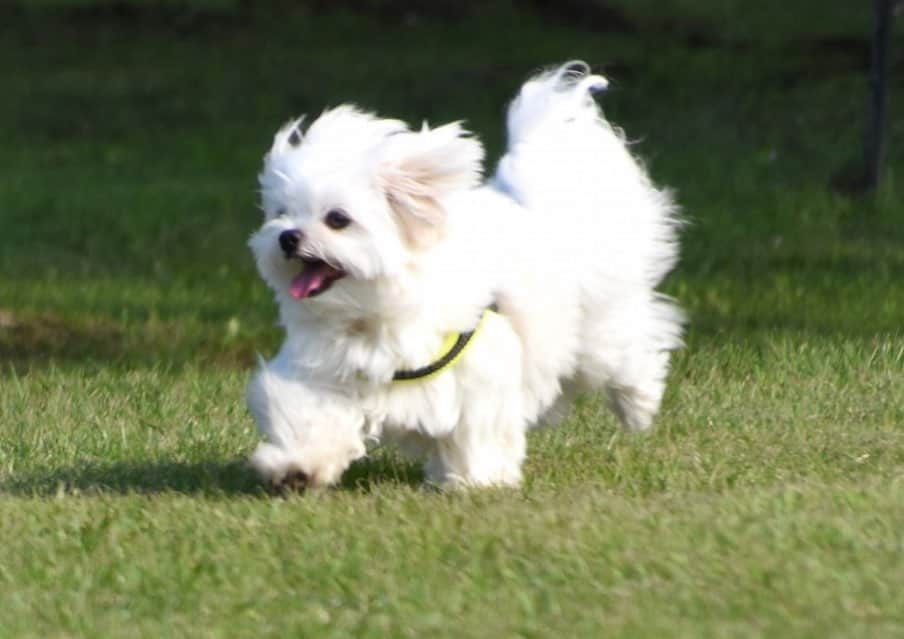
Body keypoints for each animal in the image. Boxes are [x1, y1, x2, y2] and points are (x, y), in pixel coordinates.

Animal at [244, 62, 680, 490]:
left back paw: (638, 405)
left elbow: (477, 430)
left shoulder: (479, 373)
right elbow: (309, 417)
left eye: (337, 219)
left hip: (596, 329)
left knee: (628, 352)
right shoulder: (322, 375)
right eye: (281, 214)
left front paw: (477, 479)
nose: (287, 238)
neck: (372, 314)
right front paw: (297, 467)